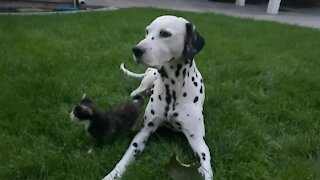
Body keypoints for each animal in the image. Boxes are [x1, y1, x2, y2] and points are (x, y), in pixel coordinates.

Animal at [102, 15, 212, 180]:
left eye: (165, 34)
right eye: (147, 31)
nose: (136, 50)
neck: (173, 89)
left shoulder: (197, 140)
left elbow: (206, 163)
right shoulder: (144, 132)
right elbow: (125, 158)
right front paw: (112, 174)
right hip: (146, 80)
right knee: (136, 93)